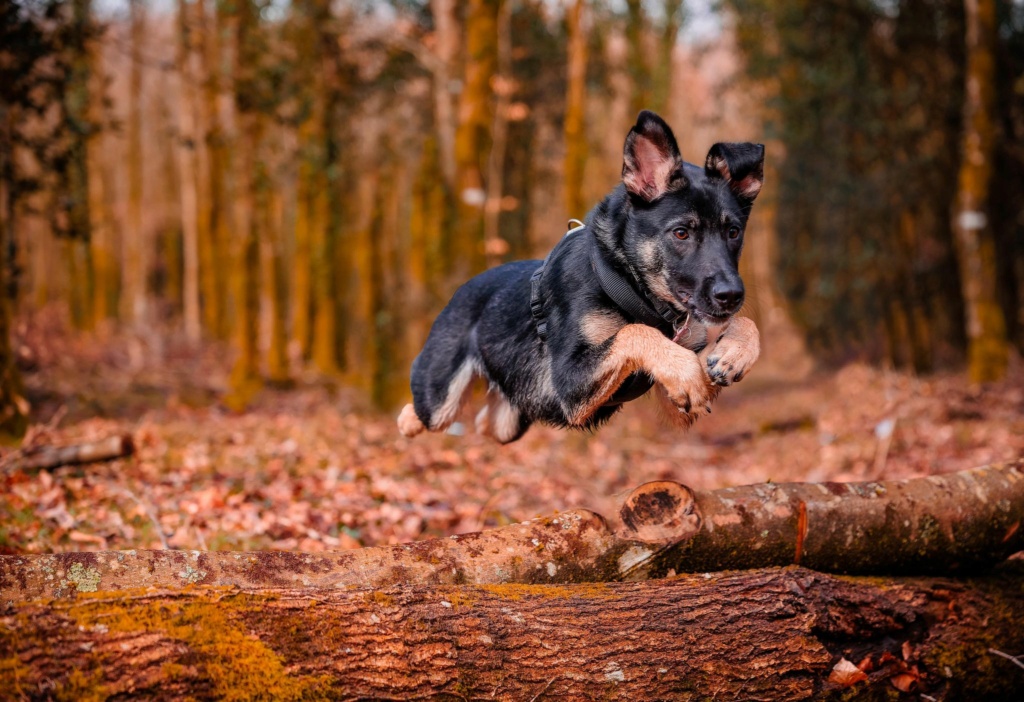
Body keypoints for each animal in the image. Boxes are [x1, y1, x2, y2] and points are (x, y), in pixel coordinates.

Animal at [397, 112, 761, 448]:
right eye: (682, 232)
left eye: (733, 232)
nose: (731, 295)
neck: (631, 286)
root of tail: (461, 291)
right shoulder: (571, 380)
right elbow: (634, 332)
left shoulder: (676, 397)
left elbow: (742, 326)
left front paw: (732, 352)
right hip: (438, 398)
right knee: (424, 410)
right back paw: (407, 422)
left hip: (512, 419)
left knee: (488, 421)